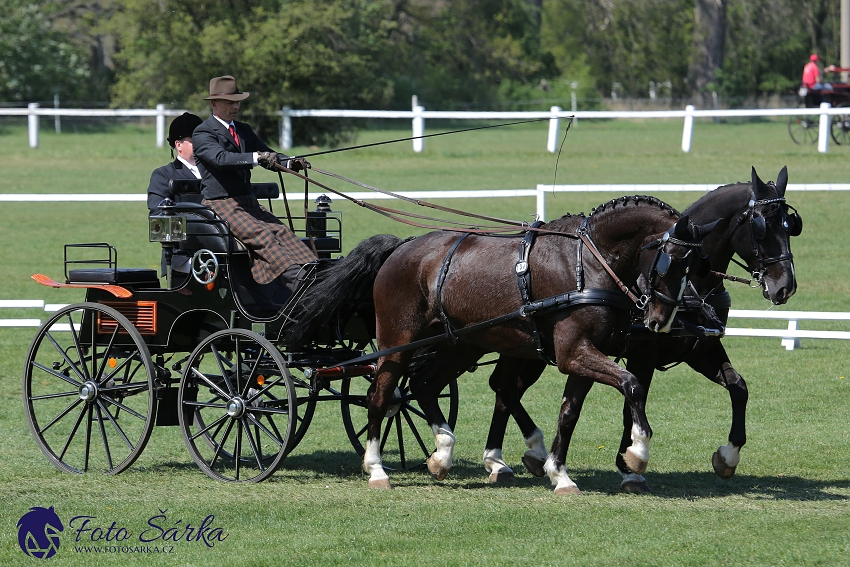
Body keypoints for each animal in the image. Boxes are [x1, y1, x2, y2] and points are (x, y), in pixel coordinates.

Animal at [290, 196, 716, 492]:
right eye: (668, 260)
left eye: (697, 266)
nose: (661, 320)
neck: (587, 263)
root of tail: (402, 246)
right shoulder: (574, 353)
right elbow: (632, 383)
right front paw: (637, 453)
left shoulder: (582, 354)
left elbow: (570, 412)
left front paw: (559, 473)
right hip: (398, 341)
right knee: (382, 395)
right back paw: (377, 468)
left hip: (459, 343)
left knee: (426, 385)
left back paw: (443, 452)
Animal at [480, 168, 800, 492]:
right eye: (761, 227)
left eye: (790, 226)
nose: (785, 286)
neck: (694, 290)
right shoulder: (641, 355)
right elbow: (630, 405)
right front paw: (630, 463)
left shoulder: (700, 350)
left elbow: (738, 387)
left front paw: (728, 455)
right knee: (504, 388)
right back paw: (508, 457)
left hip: (532, 352)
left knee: (505, 389)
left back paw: (513, 457)